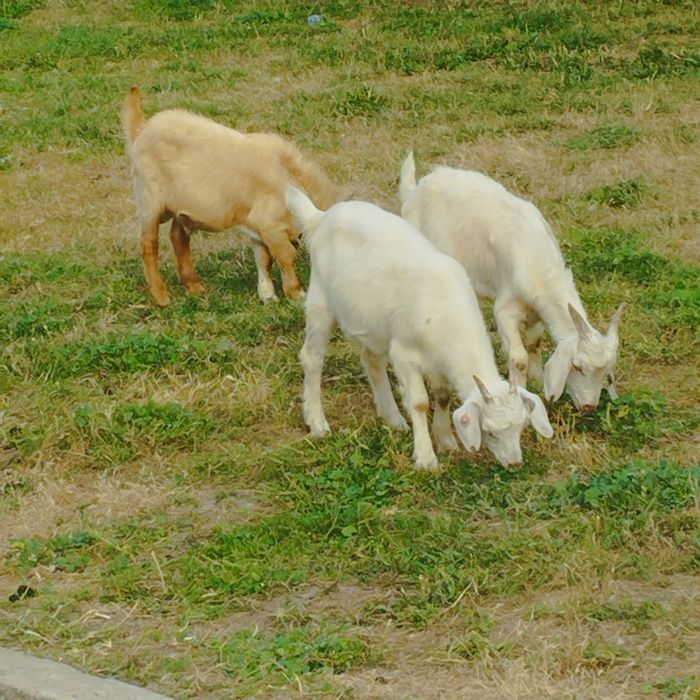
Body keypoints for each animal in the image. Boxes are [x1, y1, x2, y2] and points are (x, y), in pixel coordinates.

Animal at [121, 87, 338, 306]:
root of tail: (142, 128)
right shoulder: (270, 224)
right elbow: (286, 255)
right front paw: (295, 293)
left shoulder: (258, 227)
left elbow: (264, 258)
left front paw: (267, 295)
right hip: (149, 200)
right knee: (149, 244)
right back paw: (161, 296)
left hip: (180, 207)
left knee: (178, 237)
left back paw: (195, 287)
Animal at [286, 186, 553, 470]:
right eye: (489, 431)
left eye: (521, 426)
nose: (514, 463)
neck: (446, 310)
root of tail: (321, 217)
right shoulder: (404, 354)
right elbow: (420, 403)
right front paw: (425, 458)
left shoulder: (438, 359)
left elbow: (443, 395)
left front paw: (445, 439)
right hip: (320, 299)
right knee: (312, 358)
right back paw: (317, 423)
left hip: (372, 324)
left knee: (372, 360)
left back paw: (393, 418)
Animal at [399, 152, 623, 412]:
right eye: (576, 366)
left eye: (606, 372)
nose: (589, 406)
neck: (535, 257)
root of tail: (415, 191)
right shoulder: (506, 309)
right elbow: (519, 359)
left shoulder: (535, 309)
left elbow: (534, 342)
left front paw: (537, 377)